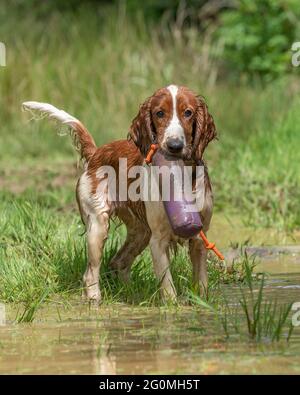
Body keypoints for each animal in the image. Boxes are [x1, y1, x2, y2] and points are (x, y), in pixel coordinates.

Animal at [22, 85, 216, 304]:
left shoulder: (200, 239)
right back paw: (95, 299)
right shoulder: (158, 240)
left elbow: (201, 282)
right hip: (98, 226)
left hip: (140, 232)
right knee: (91, 273)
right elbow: (168, 288)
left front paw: (203, 303)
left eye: (188, 112)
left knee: (118, 261)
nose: (174, 145)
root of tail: (96, 153)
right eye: (159, 113)